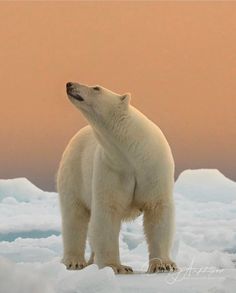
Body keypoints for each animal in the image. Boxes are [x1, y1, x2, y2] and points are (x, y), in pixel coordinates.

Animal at [56, 81, 176, 272]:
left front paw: (163, 264)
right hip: (74, 173)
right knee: (74, 217)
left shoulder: (153, 167)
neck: (133, 151)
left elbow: (158, 209)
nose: (69, 84)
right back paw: (75, 261)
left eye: (96, 88)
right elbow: (107, 213)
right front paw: (117, 267)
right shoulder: (112, 168)